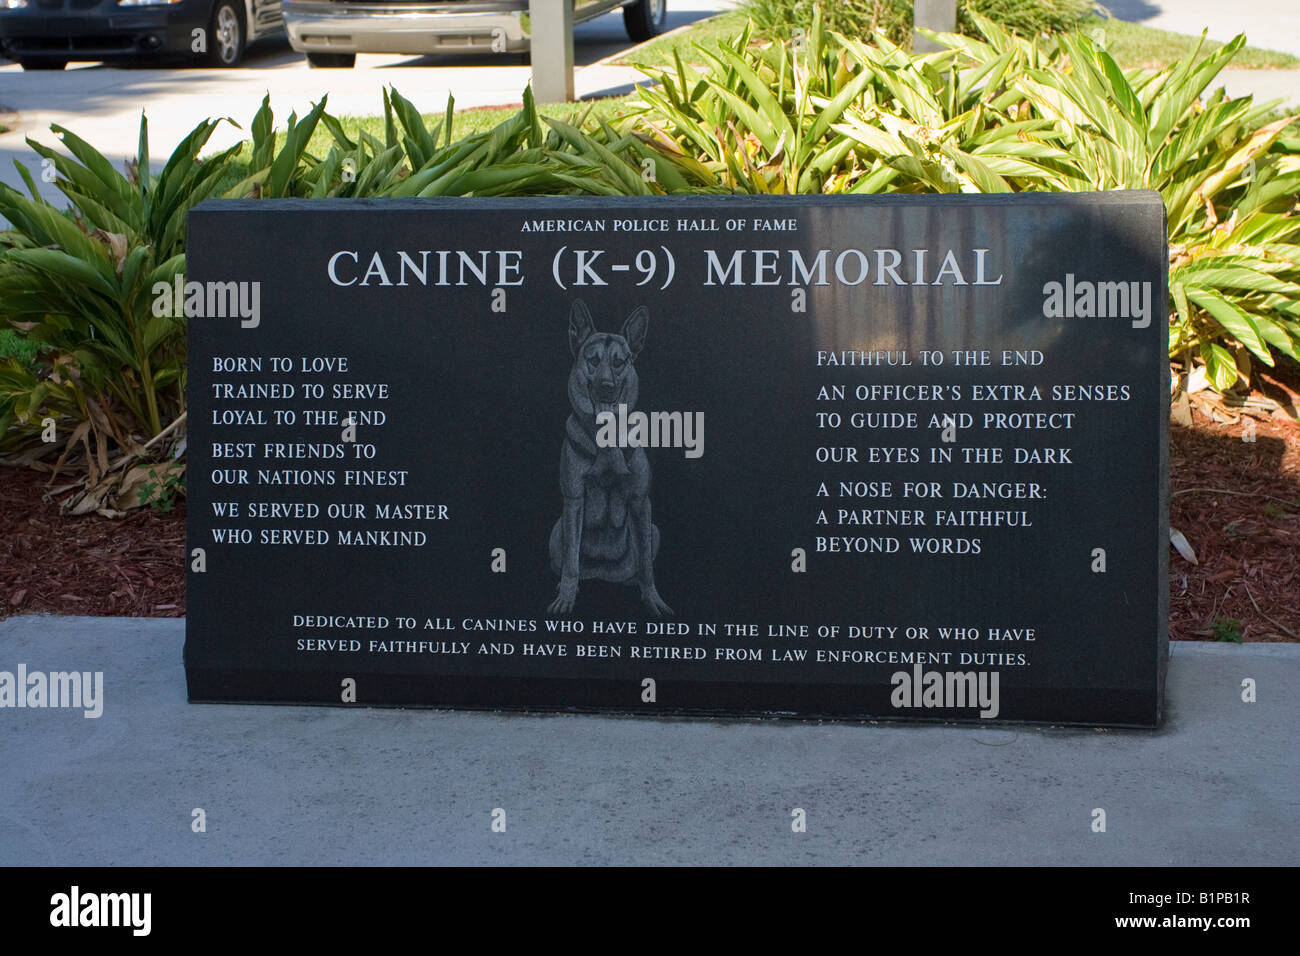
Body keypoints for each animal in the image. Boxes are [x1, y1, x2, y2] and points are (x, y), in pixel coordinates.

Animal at [548, 300, 676, 621]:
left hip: (654, 530)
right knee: (568, 563)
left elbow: (646, 565)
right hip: (557, 530)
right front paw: (566, 598)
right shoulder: (574, 500)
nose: (606, 385)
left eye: (619, 362)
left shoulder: (641, 503)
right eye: (593, 360)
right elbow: (571, 563)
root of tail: (602, 575)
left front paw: (652, 599)